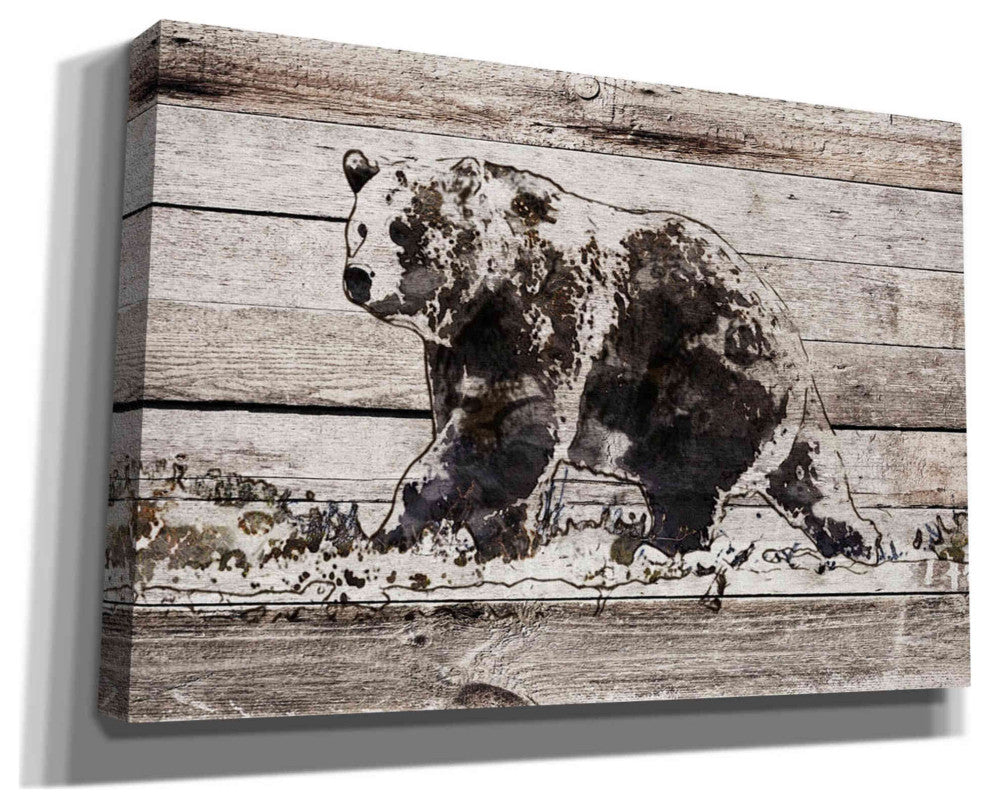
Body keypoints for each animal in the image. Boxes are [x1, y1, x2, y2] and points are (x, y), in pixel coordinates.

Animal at [341, 148, 882, 565]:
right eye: (361, 226)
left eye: (401, 228)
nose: (357, 276)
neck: (479, 297)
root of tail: (784, 320)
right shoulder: (456, 351)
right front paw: (504, 540)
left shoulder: (546, 316)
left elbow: (505, 430)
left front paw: (390, 532)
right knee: (812, 473)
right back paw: (858, 540)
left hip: (705, 371)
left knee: (690, 474)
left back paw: (660, 548)